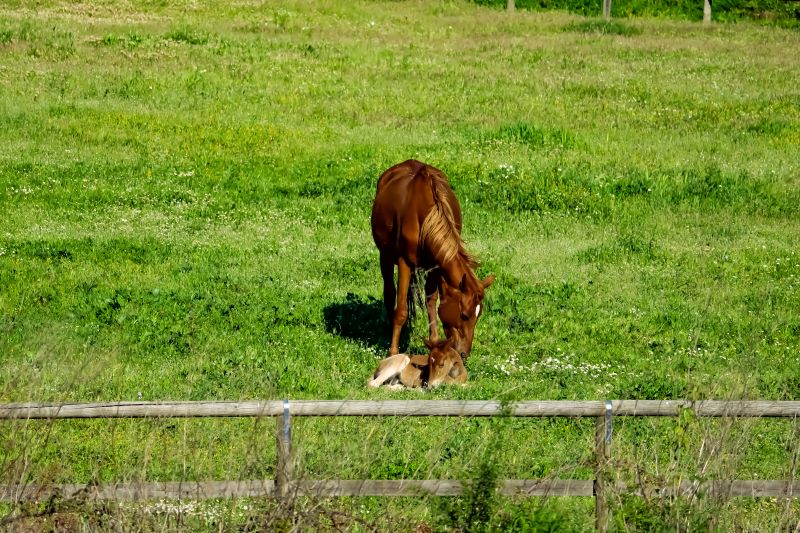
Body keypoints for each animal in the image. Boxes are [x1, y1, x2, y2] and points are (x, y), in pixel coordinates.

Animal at [370, 158, 494, 358]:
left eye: (479, 314)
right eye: (464, 315)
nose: (464, 354)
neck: (427, 217)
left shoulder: (437, 266)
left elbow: (431, 301)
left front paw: (435, 343)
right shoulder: (405, 262)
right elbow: (401, 310)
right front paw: (393, 352)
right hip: (385, 256)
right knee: (389, 293)